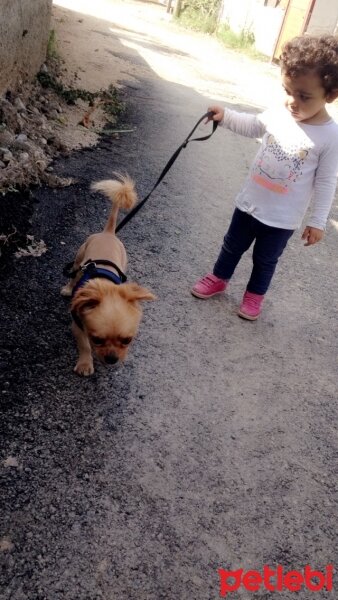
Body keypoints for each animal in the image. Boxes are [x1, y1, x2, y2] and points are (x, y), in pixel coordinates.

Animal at [61, 171, 155, 376]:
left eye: (127, 340)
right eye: (97, 340)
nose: (112, 359)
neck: (104, 285)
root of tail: (109, 233)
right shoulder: (78, 326)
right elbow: (84, 346)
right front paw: (85, 364)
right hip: (80, 257)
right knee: (73, 274)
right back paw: (67, 288)